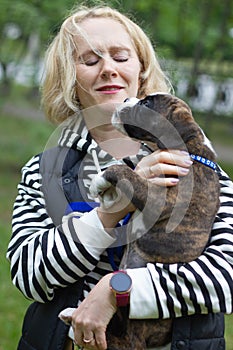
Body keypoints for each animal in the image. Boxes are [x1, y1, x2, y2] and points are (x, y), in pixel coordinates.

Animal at [89, 93, 220, 350]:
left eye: (147, 104)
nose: (127, 99)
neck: (188, 150)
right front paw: (106, 193)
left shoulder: (160, 197)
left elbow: (125, 171)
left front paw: (99, 180)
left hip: (136, 327)